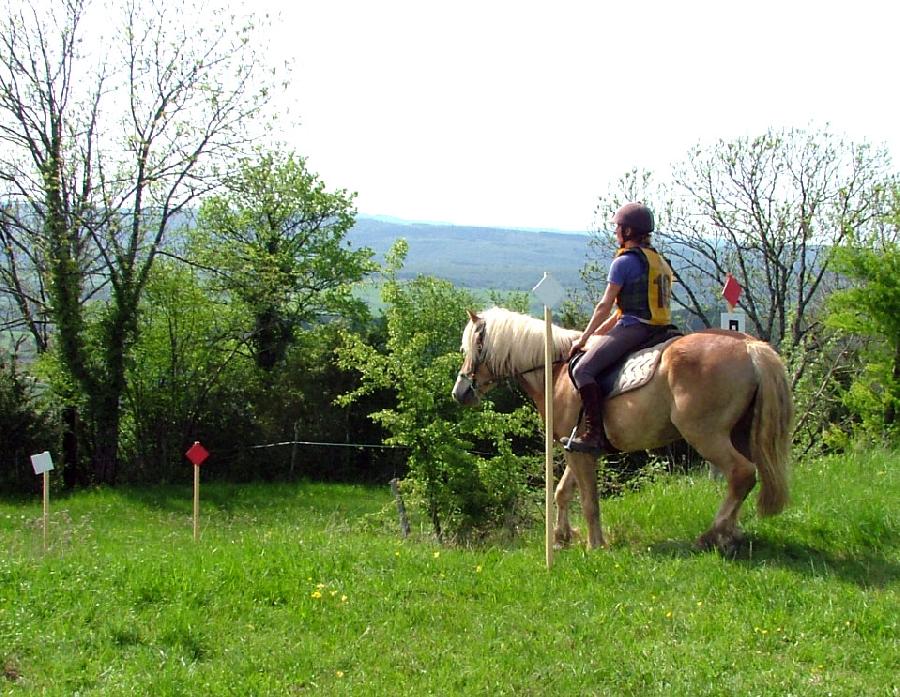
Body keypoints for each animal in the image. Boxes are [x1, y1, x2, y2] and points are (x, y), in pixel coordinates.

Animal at [454, 308, 792, 552]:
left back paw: (713, 534)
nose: (460, 392)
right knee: (744, 478)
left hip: (705, 435)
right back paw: (731, 535)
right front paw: (562, 537)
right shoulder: (574, 446)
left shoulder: (579, 452)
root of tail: (749, 347)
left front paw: (595, 545)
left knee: (741, 473)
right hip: (740, 434)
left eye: (474, 346)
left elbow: (588, 500)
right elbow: (563, 492)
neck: (556, 370)